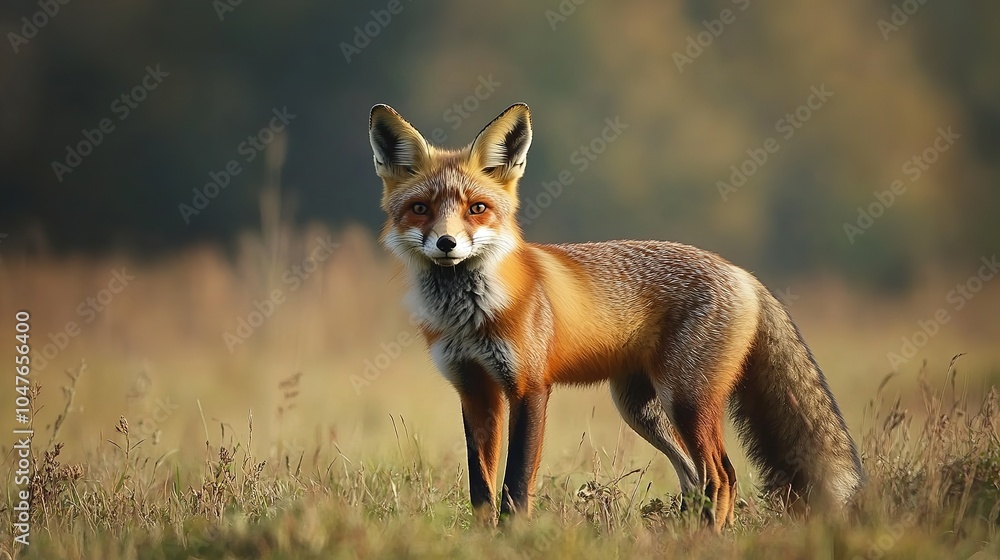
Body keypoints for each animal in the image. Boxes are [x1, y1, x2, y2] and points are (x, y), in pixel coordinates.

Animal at [368, 102, 863, 530]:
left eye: (477, 208)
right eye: (420, 209)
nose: (447, 244)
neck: (469, 316)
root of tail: (743, 273)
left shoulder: (530, 387)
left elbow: (516, 484)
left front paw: (513, 538)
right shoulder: (475, 391)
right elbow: (481, 488)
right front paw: (482, 539)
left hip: (686, 401)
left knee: (722, 476)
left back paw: (706, 538)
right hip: (641, 409)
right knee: (694, 477)